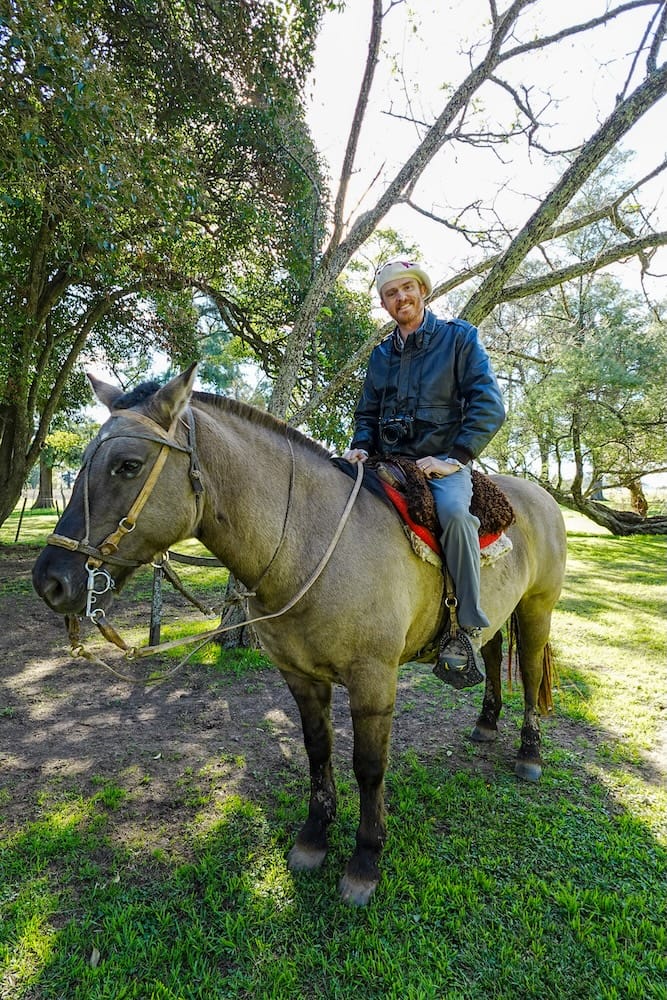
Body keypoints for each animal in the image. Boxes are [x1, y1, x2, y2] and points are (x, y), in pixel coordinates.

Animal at [32, 365, 567, 905]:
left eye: (128, 465)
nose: (50, 581)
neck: (311, 541)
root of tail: (539, 496)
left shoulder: (374, 682)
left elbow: (369, 768)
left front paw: (365, 861)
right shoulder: (300, 677)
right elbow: (317, 751)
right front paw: (313, 840)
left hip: (536, 610)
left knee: (527, 674)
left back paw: (529, 754)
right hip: (496, 616)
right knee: (492, 653)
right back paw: (486, 723)